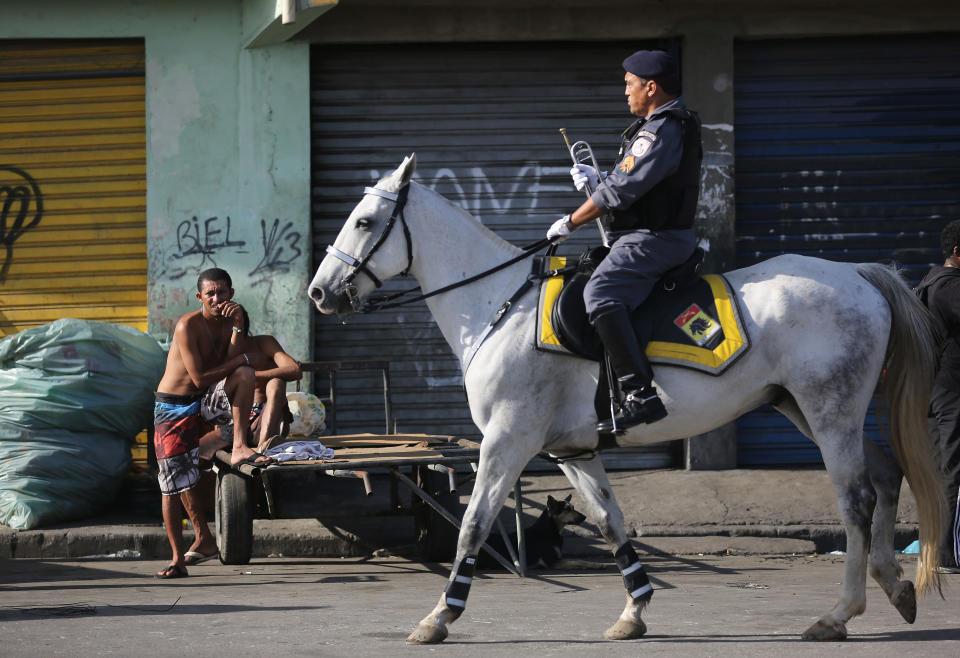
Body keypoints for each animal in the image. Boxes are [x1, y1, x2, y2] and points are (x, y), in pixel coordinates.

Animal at [308, 155, 944, 640]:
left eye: (364, 221)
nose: (319, 292)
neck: (499, 304)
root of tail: (858, 275)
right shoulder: (573, 451)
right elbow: (610, 520)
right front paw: (634, 610)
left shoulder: (507, 441)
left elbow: (474, 524)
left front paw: (439, 616)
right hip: (804, 407)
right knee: (886, 476)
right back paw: (894, 586)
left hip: (829, 410)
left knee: (857, 498)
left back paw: (840, 614)